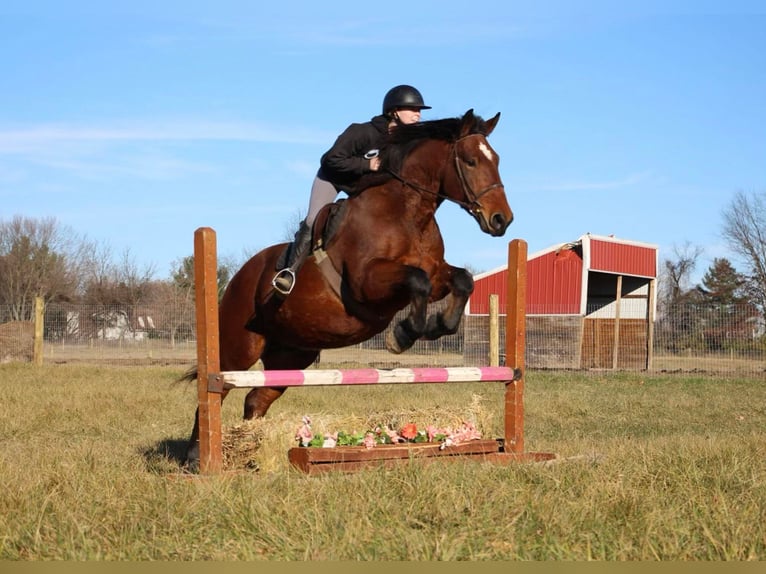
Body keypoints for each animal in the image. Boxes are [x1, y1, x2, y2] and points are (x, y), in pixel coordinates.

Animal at [181, 109, 516, 472]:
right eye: (470, 161)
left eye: (497, 159)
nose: (502, 220)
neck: (409, 212)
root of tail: (238, 276)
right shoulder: (367, 283)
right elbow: (417, 281)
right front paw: (402, 335)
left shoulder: (436, 273)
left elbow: (462, 279)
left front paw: (438, 326)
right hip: (238, 349)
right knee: (217, 390)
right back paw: (196, 459)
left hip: (291, 355)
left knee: (256, 399)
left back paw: (249, 452)